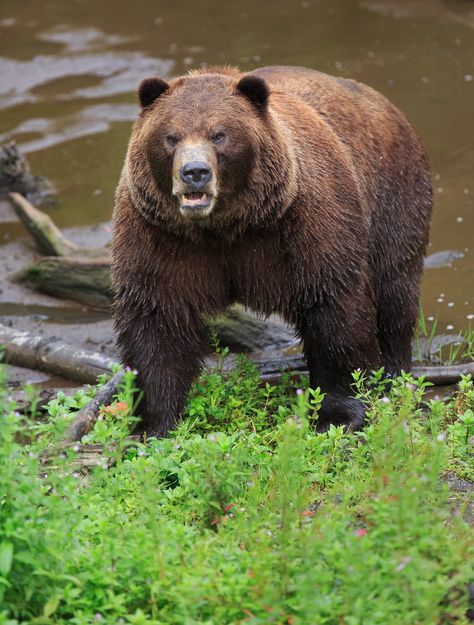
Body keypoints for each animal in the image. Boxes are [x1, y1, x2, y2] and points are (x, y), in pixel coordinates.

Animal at [112, 63, 434, 434]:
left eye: (219, 134)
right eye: (171, 136)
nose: (195, 172)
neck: (224, 227)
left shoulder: (305, 221)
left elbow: (335, 305)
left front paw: (339, 413)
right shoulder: (159, 235)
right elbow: (157, 319)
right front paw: (153, 421)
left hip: (393, 197)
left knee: (394, 293)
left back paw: (395, 376)